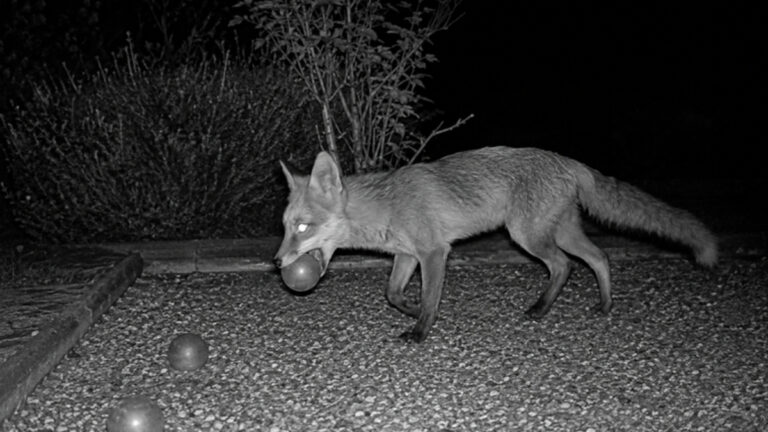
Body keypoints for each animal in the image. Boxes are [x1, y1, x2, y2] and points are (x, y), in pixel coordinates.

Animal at [273, 146, 718, 343]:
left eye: (302, 227)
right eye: (285, 227)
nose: (277, 263)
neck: (386, 205)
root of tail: (567, 161)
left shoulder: (435, 253)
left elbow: (430, 299)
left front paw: (420, 330)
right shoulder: (407, 255)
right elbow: (393, 294)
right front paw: (411, 310)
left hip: (528, 236)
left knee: (564, 265)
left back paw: (543, 308)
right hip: (559, 232)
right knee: (599, 257)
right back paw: (601, 304)